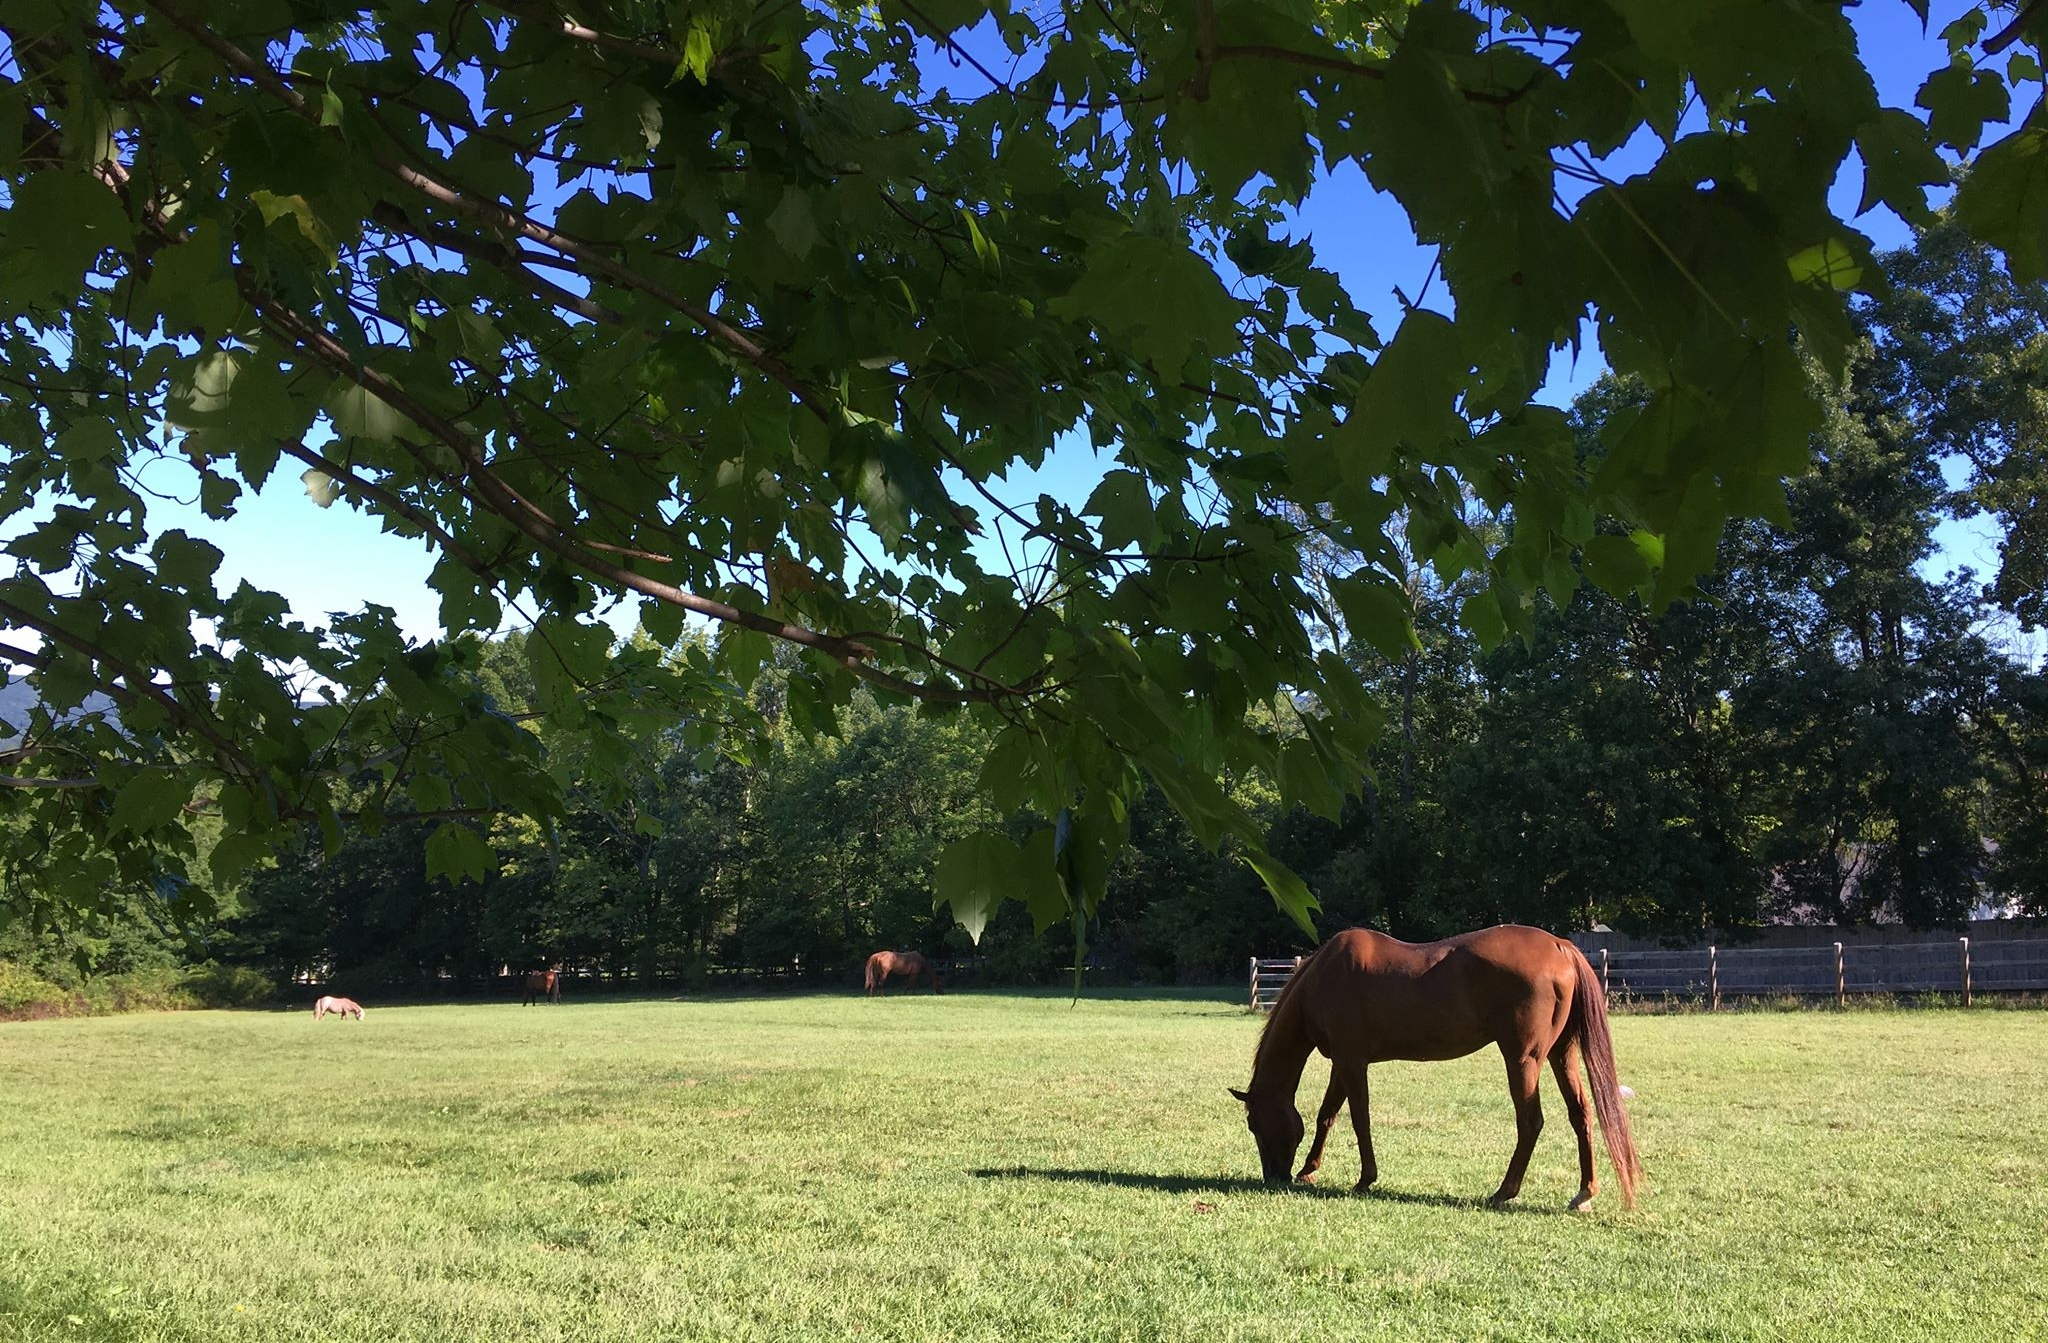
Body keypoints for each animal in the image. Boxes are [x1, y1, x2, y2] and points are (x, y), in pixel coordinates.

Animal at [1228, 929, 1646, 1211]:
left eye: (1253, 1123)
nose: (1274, 1176)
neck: (1324, 976)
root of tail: (1560, 945)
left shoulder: (1351, 1061)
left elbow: (1359, 1118)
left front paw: (1365, 1179)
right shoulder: (1343, 1063)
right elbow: (1327, 1115)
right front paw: (1309, 1170)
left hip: (1523, 1059)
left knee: (1531, 1122)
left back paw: (1504, 1192)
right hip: (1562, 1053)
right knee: (1581, 1114)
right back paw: (1584, 1193)